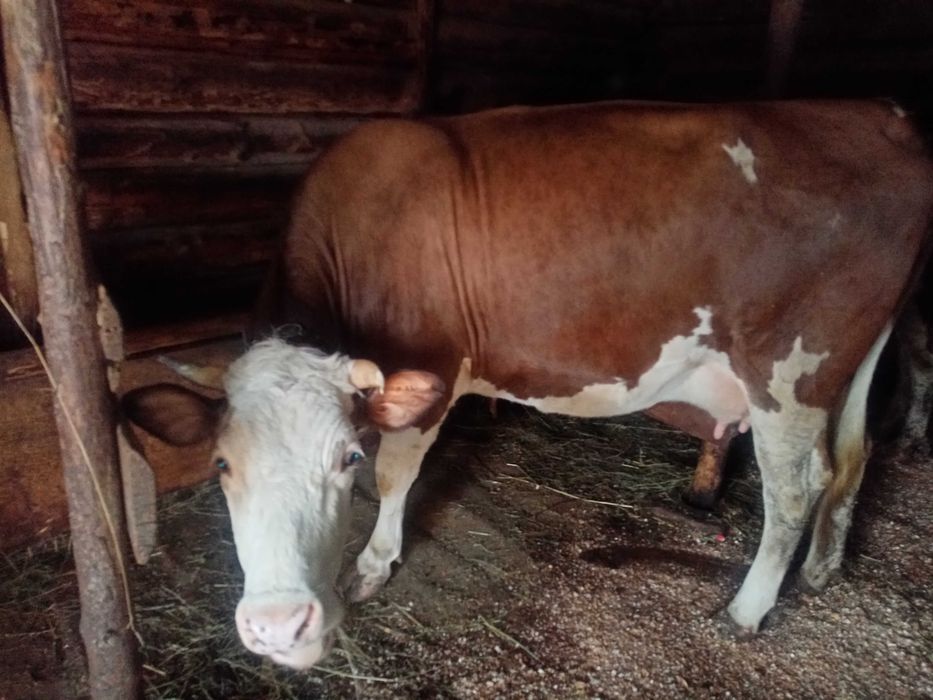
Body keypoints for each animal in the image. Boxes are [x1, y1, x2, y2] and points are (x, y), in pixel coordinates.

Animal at [123, 100, 933, 670]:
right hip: (842, 368)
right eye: (222, 465)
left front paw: (373, 564)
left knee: (793, 490)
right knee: (848, 462)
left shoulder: (436, 366)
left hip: (787, 371)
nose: (279, 627)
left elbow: (396, 475)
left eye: (345, 458)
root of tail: (877, 115)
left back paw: (749, 607)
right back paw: (823, 569)